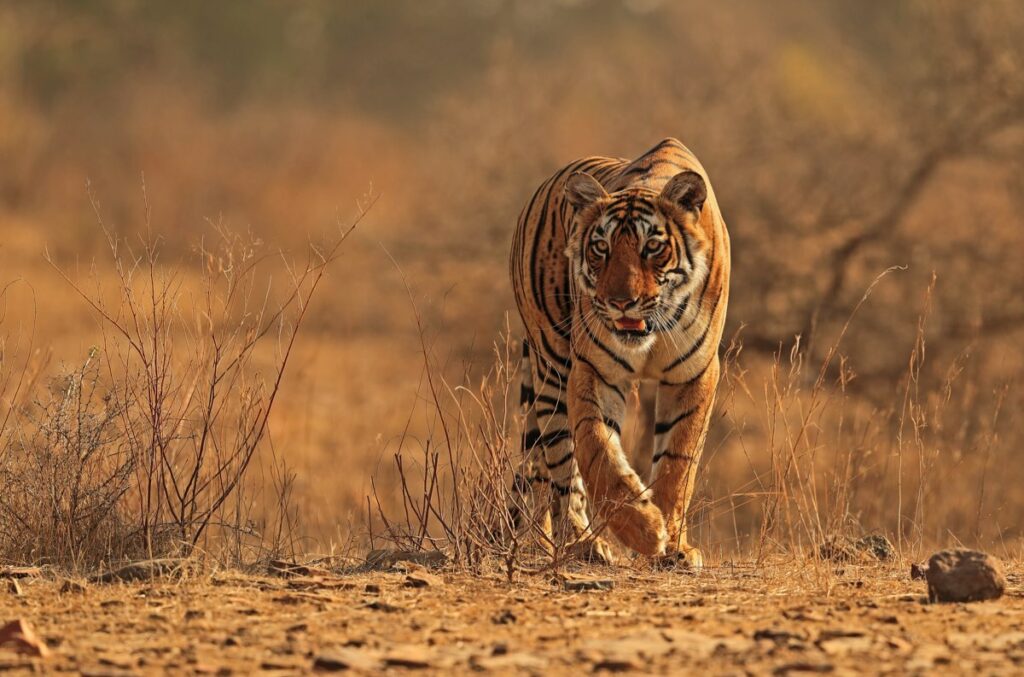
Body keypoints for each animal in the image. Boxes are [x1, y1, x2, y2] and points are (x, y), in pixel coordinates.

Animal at [505, 136, 729, 565]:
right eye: (601, 248)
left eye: (652, 247)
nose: (621, 302)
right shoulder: (594, 369)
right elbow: (597, 453)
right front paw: (643, 530)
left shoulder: (695, 373)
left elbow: (677, 464)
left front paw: (674, 546)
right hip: (551, 368)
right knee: (560, 469)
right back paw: (582, 543)